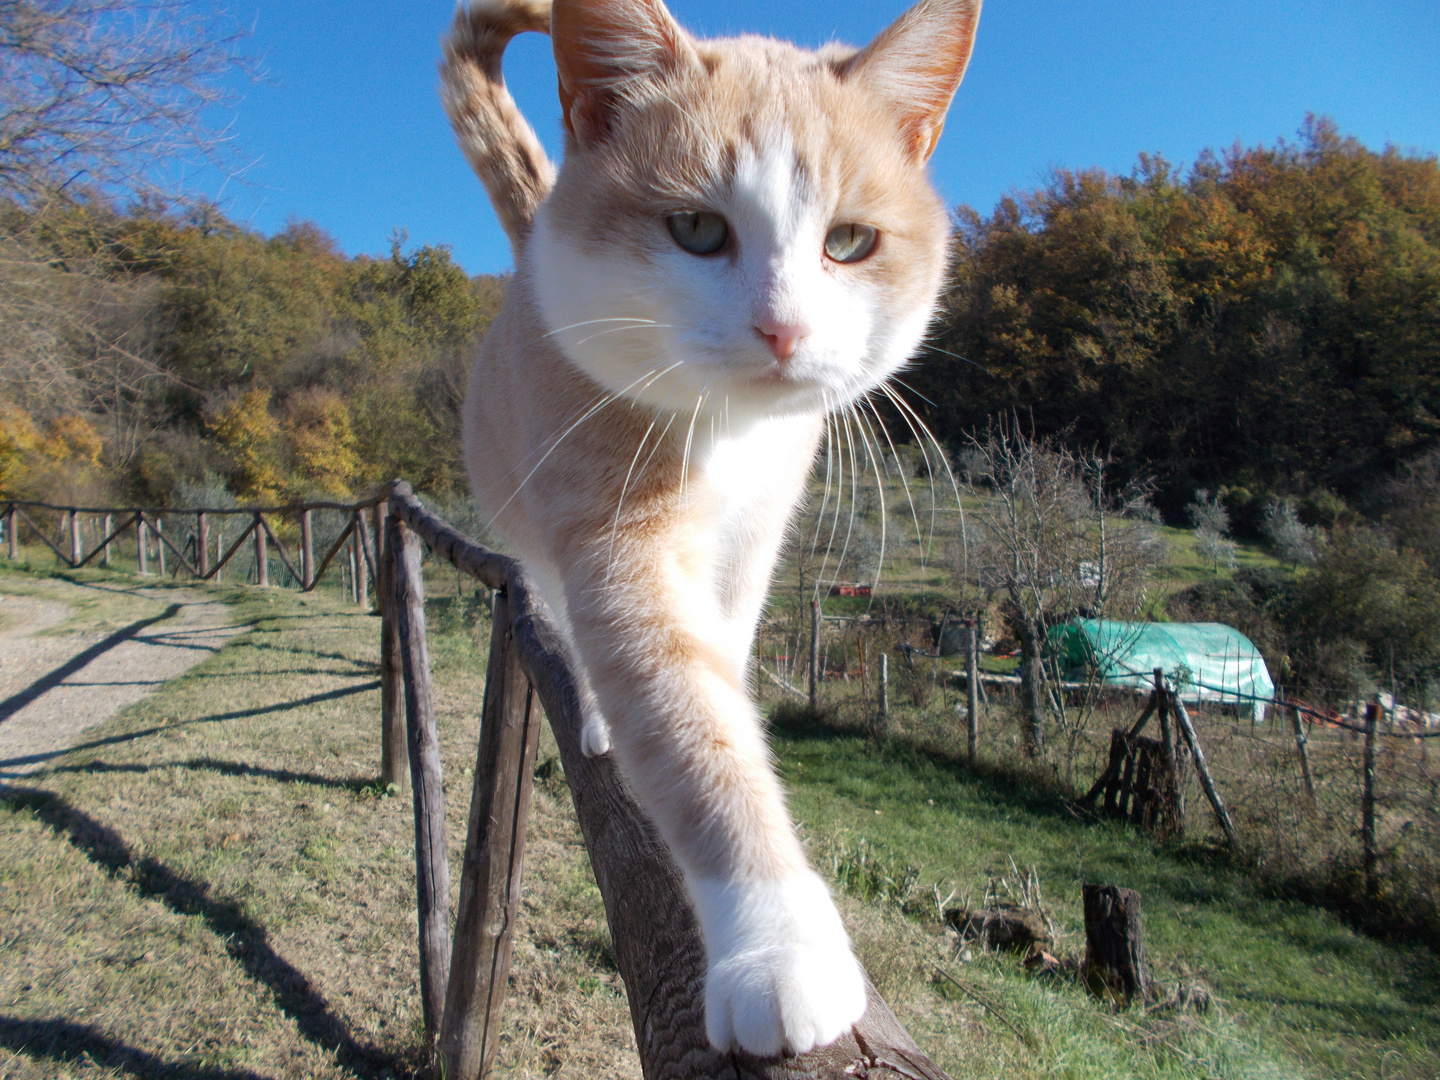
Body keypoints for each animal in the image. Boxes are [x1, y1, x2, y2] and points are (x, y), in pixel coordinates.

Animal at [437, 0, 979, 1059]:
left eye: (849, 242)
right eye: (696, 229)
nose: (784, 330)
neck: (732, 438)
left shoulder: (758, 534)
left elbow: (725, 651)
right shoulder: (619, 540)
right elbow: (694, 732)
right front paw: (778, 948)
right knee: (559, 612)